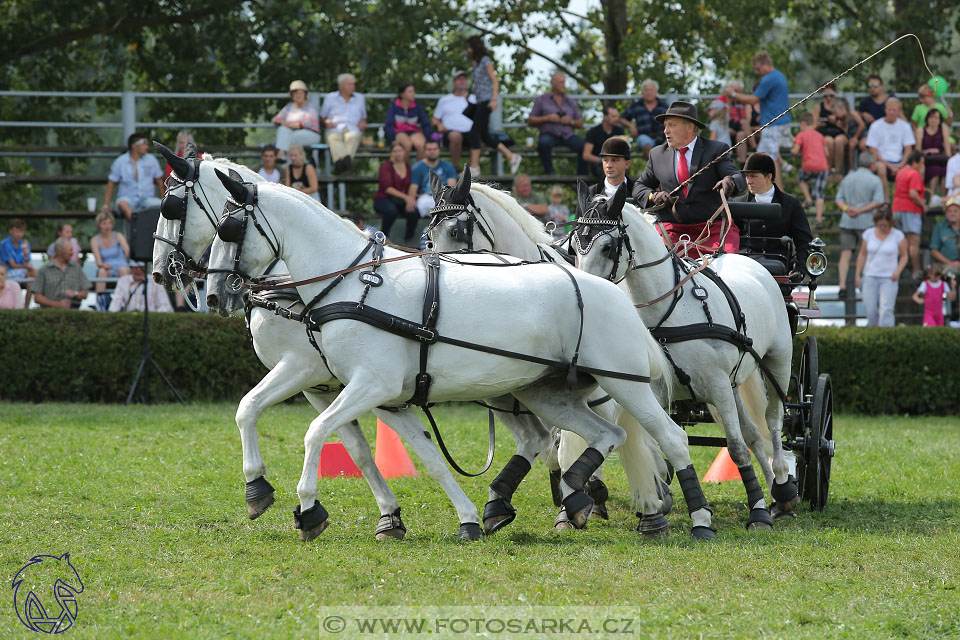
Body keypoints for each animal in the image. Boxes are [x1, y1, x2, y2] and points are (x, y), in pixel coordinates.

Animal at [153, 145, 484, 540]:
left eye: (171, 206)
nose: (158, 270)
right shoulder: (327, 386)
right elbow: (360, 449)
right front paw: (389, 514)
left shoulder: (303, 367)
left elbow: (249, 408)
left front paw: (260, 488)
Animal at [572, 184, 800, 520]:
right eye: (574, 245)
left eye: (608, 247)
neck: (670, 310)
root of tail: (750, 262)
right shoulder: (659, 389)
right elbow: (659, 440)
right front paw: (663, 493)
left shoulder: (717, 385)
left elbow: (735, 447)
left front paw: (756, 510)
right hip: (733, 384)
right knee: (753, 433)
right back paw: (773, 488)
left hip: (777, 363)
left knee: (772, 420)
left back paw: (783, 485)